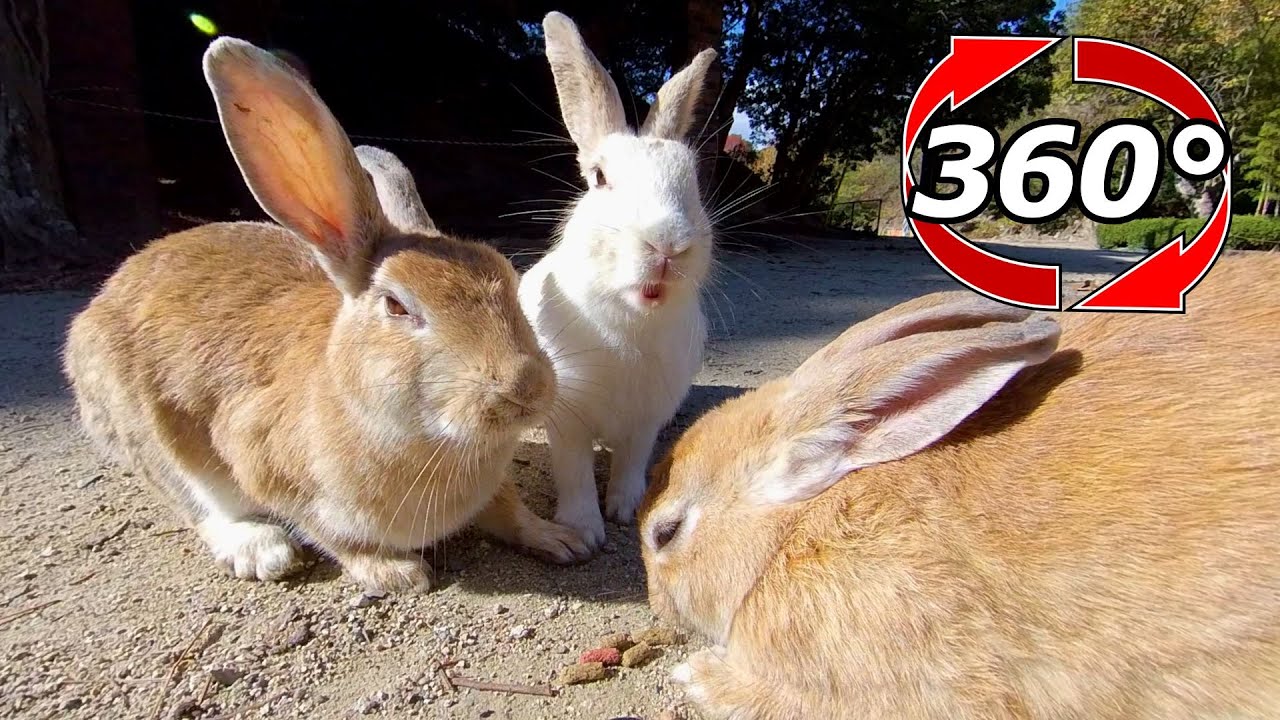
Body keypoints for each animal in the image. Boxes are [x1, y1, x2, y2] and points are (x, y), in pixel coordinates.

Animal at [62, 37, 590, 594]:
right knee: (196, 504)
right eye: (397, 305)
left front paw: (559, 539)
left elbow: (509, 509)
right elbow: (334, 536)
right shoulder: (265, 462)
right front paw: (395, 574)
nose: (526, 388)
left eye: (507, 279)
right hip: (147, 438)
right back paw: (260, 549)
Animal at [518, 11, 718, 549]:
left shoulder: (646, 420)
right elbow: (575, 474)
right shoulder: (567, 419)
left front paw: (627, 510)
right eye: (600, 178)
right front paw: (585, 531)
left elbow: (631, 464)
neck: (633, 323)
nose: (667, 245)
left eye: (693, 183)